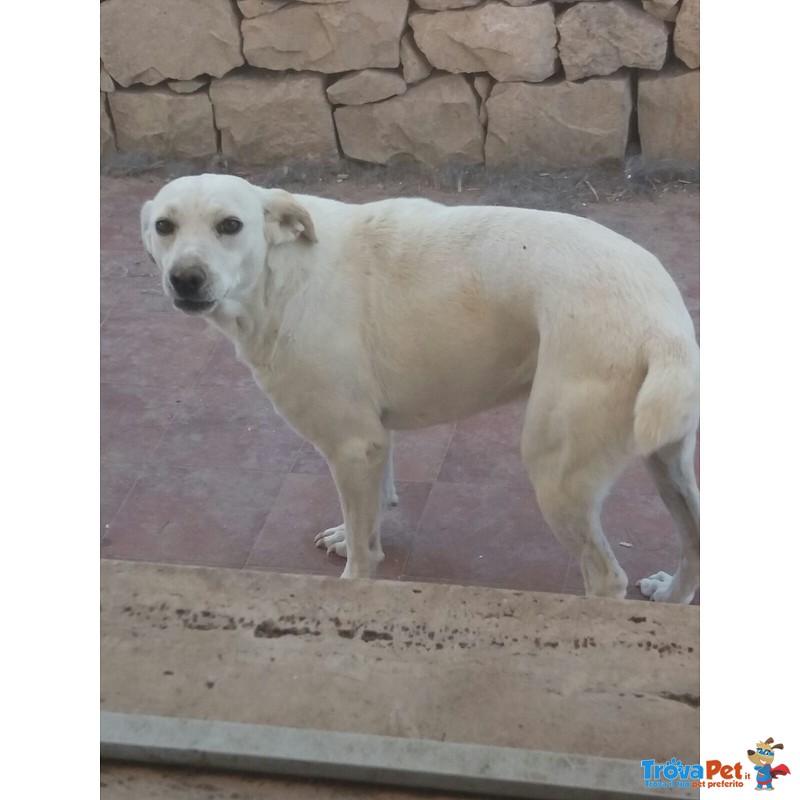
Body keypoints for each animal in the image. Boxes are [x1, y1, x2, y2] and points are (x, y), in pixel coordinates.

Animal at [144, 172, 700, 604]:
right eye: (163, 226)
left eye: (230, 225)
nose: (185, 278)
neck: (282, 274)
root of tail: (662, 325)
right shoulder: (371, 440)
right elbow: (376, 503)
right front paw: (349, 533)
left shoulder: (350, 445)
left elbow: (365, 555)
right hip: (667, 461)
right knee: (695, 543)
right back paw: (671, 595)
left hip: (556, 473)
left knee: (607, 579)